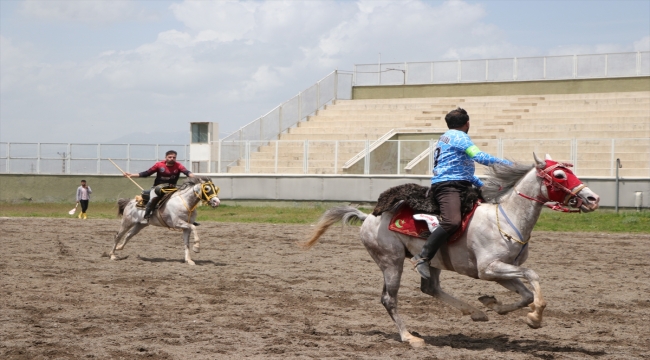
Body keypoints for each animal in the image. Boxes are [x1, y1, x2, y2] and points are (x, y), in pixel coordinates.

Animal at [302, 153, 600, 348]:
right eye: (559, 174)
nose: (593, 198)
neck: (506, 219)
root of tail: (368, 217)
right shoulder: (488, 269)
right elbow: (533, 276)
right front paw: (535, 318)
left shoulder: (501, 271)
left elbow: (525, 294)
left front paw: (494, 305)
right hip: (391, 261)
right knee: (389, 299)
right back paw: (409, 337)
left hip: (432, 262)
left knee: (430, 288)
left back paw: (475, 312)